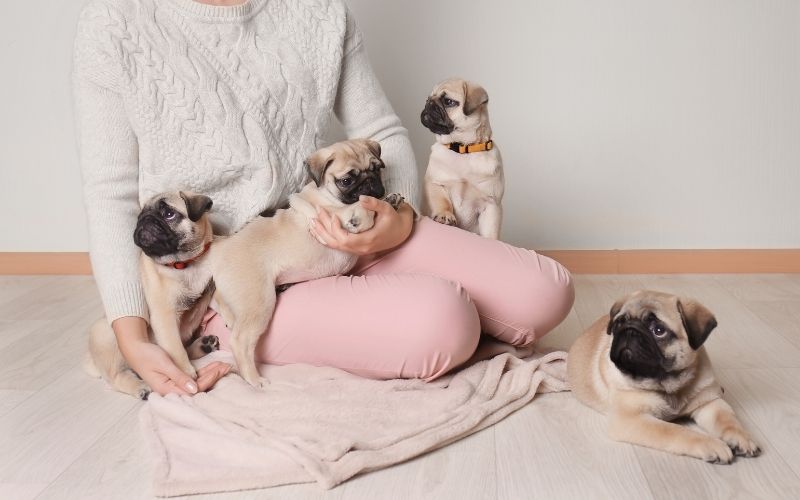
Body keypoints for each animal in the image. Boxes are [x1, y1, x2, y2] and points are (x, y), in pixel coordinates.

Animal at [422, 78, 504, 240]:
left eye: (448, 101)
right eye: (428, 99)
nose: (429, 104)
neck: (463, 149)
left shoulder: (491, 204)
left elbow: (490, 231)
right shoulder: (436, 184)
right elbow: (442, 202)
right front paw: (445, 215)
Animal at [564, 292, 760, 462]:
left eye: (658, 330)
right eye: (619, 323)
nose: (629, 329)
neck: (668, 382)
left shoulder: (710, 403)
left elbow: (728, 420)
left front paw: (740, 437)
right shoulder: (632, 419)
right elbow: (675, 431)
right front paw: (711, 444)